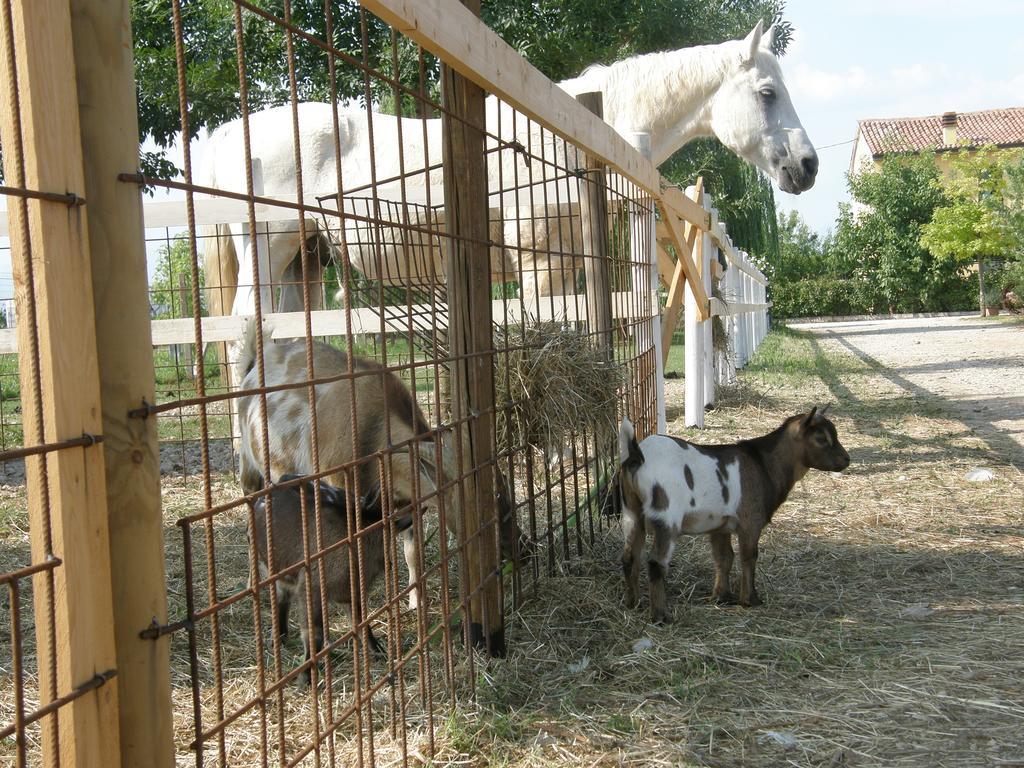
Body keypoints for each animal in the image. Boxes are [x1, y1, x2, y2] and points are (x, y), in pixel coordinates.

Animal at [195, 19, 811, 327]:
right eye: (767, 92)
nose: (807, 166)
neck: (568, 132)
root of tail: (230, 133)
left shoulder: (569, 266)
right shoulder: (538, 270)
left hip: (304, 265)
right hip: (269, 248)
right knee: (245, 325)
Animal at [235, 323, 524, 614]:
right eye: (477, 505)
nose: (520, 548)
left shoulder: (409, 503)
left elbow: (413, 553)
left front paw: (417, 601)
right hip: (250, 465)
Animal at [618, 409, 851, 626]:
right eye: (821, 438)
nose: (846, 460)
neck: (764, 464)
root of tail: (638, 456)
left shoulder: (719, 526)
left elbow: (724, 557)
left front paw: (722, 596)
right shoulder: (750, 522)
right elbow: (749, 556)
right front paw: (750, 599)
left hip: (632, 512)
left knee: (630, 557)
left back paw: (633, 603)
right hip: (666, 515)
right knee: (656, 563)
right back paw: (660, 616)